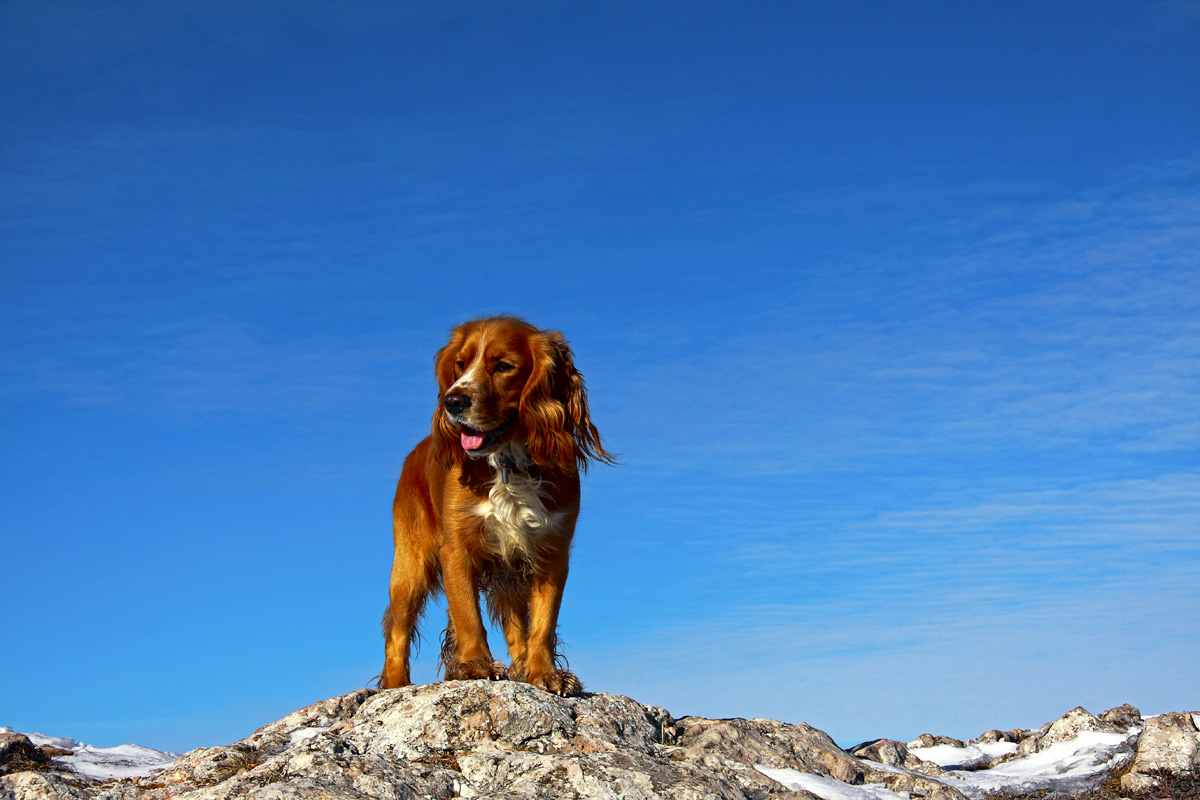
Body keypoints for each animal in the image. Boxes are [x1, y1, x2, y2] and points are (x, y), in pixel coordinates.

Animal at [379, 316, 614, 695]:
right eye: (460, 364)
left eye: (504, 366)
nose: (453, 401)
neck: (507, 461)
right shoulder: (456, 549)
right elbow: (467, 615)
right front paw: (476, 664)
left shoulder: (551, 551)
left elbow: (542, 623)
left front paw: (543, 673)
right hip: (409, 566)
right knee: (397, 629)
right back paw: (396, 685)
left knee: (515, 625)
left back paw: (520, 668)